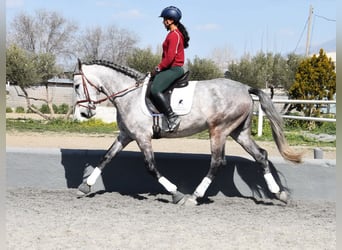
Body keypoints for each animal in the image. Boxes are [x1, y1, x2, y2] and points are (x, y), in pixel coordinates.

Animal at [73, 59, 302, 204]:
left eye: (76, 85)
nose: (83, 113)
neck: (130, 94)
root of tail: (245, 88)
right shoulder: (126, 135)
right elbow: (106, 157)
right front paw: (85, 186)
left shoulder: (142, 137)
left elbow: (151, 166)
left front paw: (176, 193)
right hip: (239, 132)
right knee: (261, 155)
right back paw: (279, 194)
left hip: (219, 130)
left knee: (217, 162)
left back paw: (193, 197)